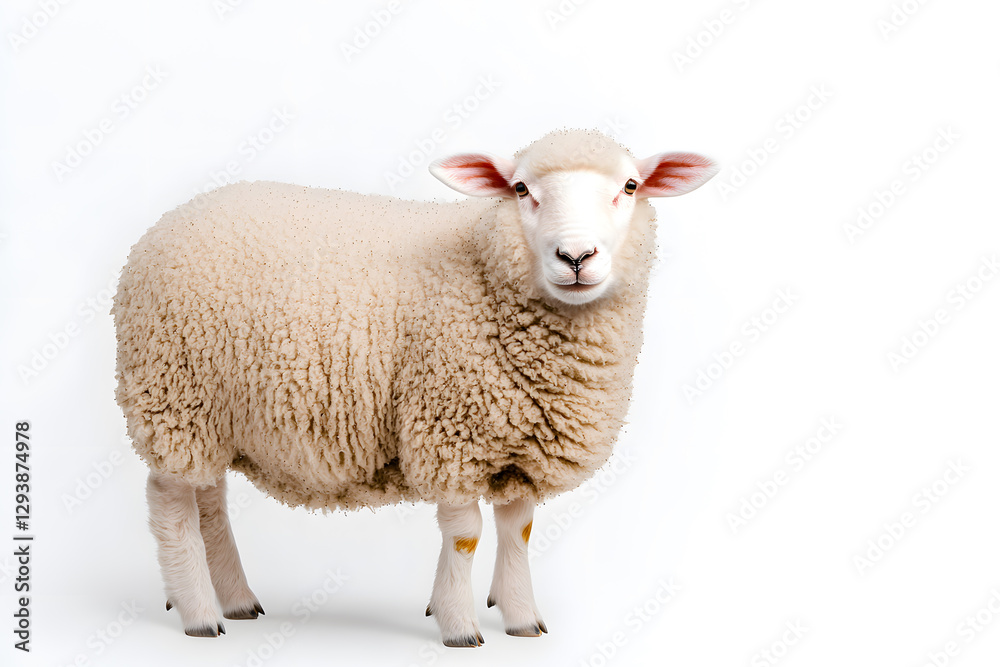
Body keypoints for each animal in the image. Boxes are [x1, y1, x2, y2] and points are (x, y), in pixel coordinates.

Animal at [112, 129, 717, 646]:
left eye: (630, 186)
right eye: (521, 189)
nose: (575, 257)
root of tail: (172, 219)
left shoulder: (521, 442)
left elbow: (518, 530)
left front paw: (521, 618)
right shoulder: (450, 429)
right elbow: (466, 534)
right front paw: (459, 625)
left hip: (212, 413)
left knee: (210, 499)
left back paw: (235, 599)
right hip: (173, 396)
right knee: (171, 505)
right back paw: (199, 613)